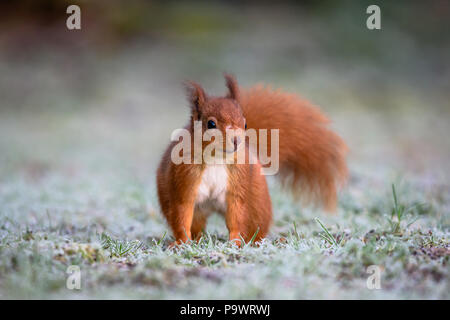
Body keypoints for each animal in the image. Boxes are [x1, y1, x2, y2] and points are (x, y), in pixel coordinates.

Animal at [155, 74, 348, 246]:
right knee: (195, 224)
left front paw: (235, 242)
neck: (217, 157)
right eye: (211, 124)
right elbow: (182, 211)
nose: (237, 140)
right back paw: (197, 240)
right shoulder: (184, 177)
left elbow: (237, 215)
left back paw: (255, 242)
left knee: (255, 223)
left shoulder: (238, 181)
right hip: (189, 206)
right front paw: (181, 242)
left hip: (258, 202)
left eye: (245, 123)